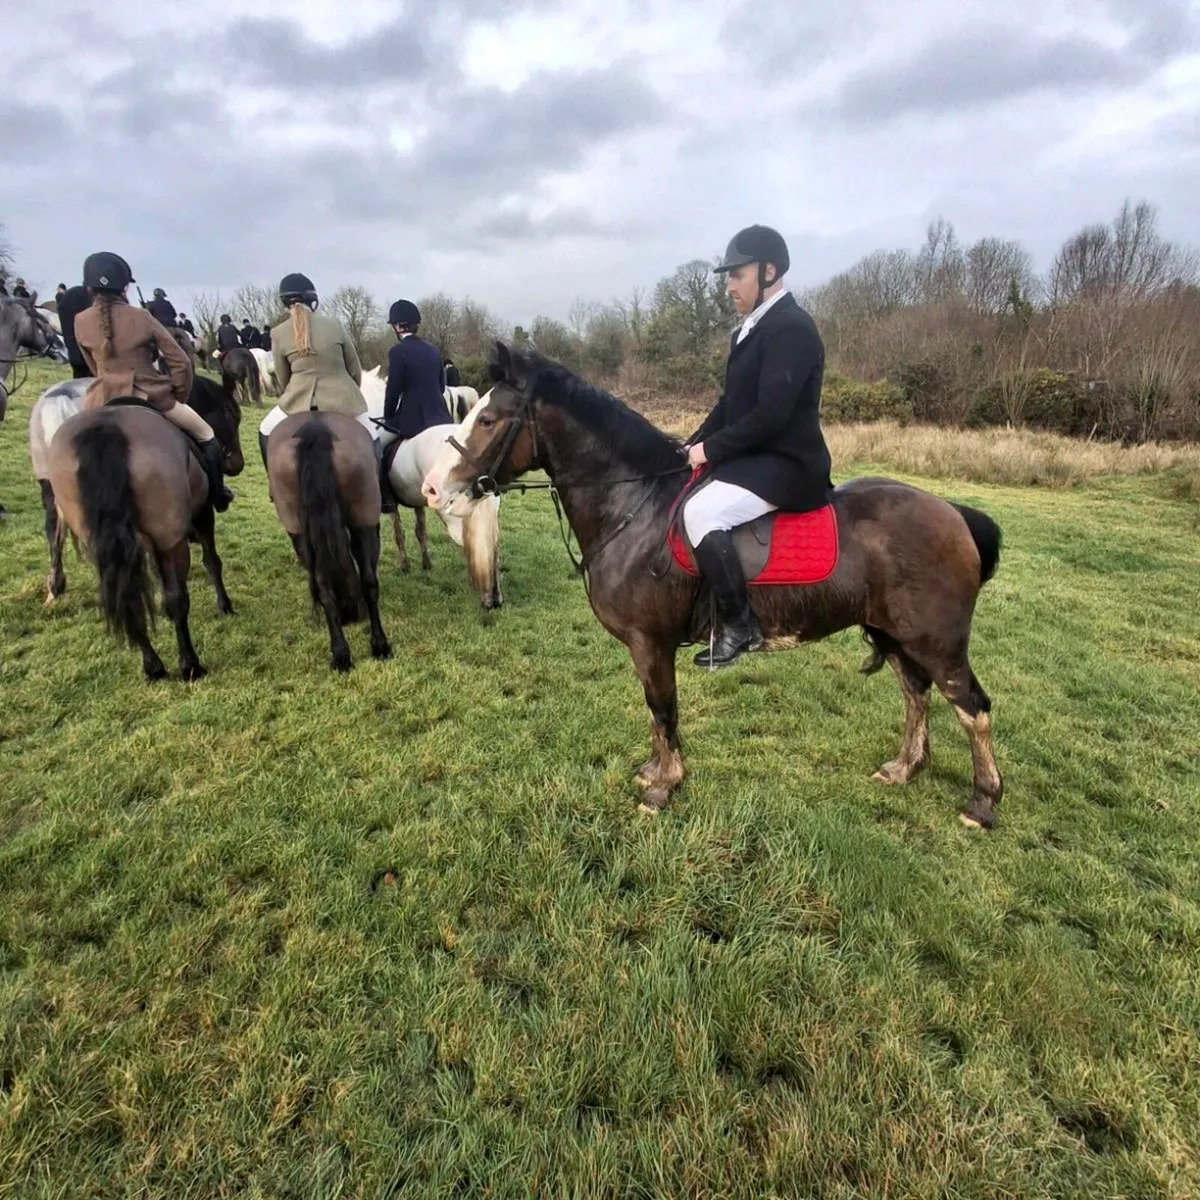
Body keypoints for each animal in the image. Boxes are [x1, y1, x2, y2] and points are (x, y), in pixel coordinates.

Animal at [45, 378, 245, 680]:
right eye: (232, 415)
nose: (237, 464)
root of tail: (106, 429)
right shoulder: (202, 514)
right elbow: (211, 562)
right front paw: (225, 606)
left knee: (124, 595)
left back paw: (153, 666)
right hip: (171, 537)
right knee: (177, 598)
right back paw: (190, 665)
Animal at [266, 412, 391, 672]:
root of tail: (315, 427)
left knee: (331, 584)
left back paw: (349, 650)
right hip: (363, 519)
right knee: (365, 582)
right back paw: (367, 647)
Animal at [424, 343, 1005, 829]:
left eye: (488, 420)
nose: (431, 488)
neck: (635, 506)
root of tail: (955, 514)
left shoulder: (650, 642)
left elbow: (663, 708)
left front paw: (663, 788)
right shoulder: (647, 646)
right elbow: (655, 712)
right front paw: (653, 771)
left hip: (938, 642)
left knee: (971, 708)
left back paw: (982, 803)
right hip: (899, 636)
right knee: (916, 694)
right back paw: (904, 769)